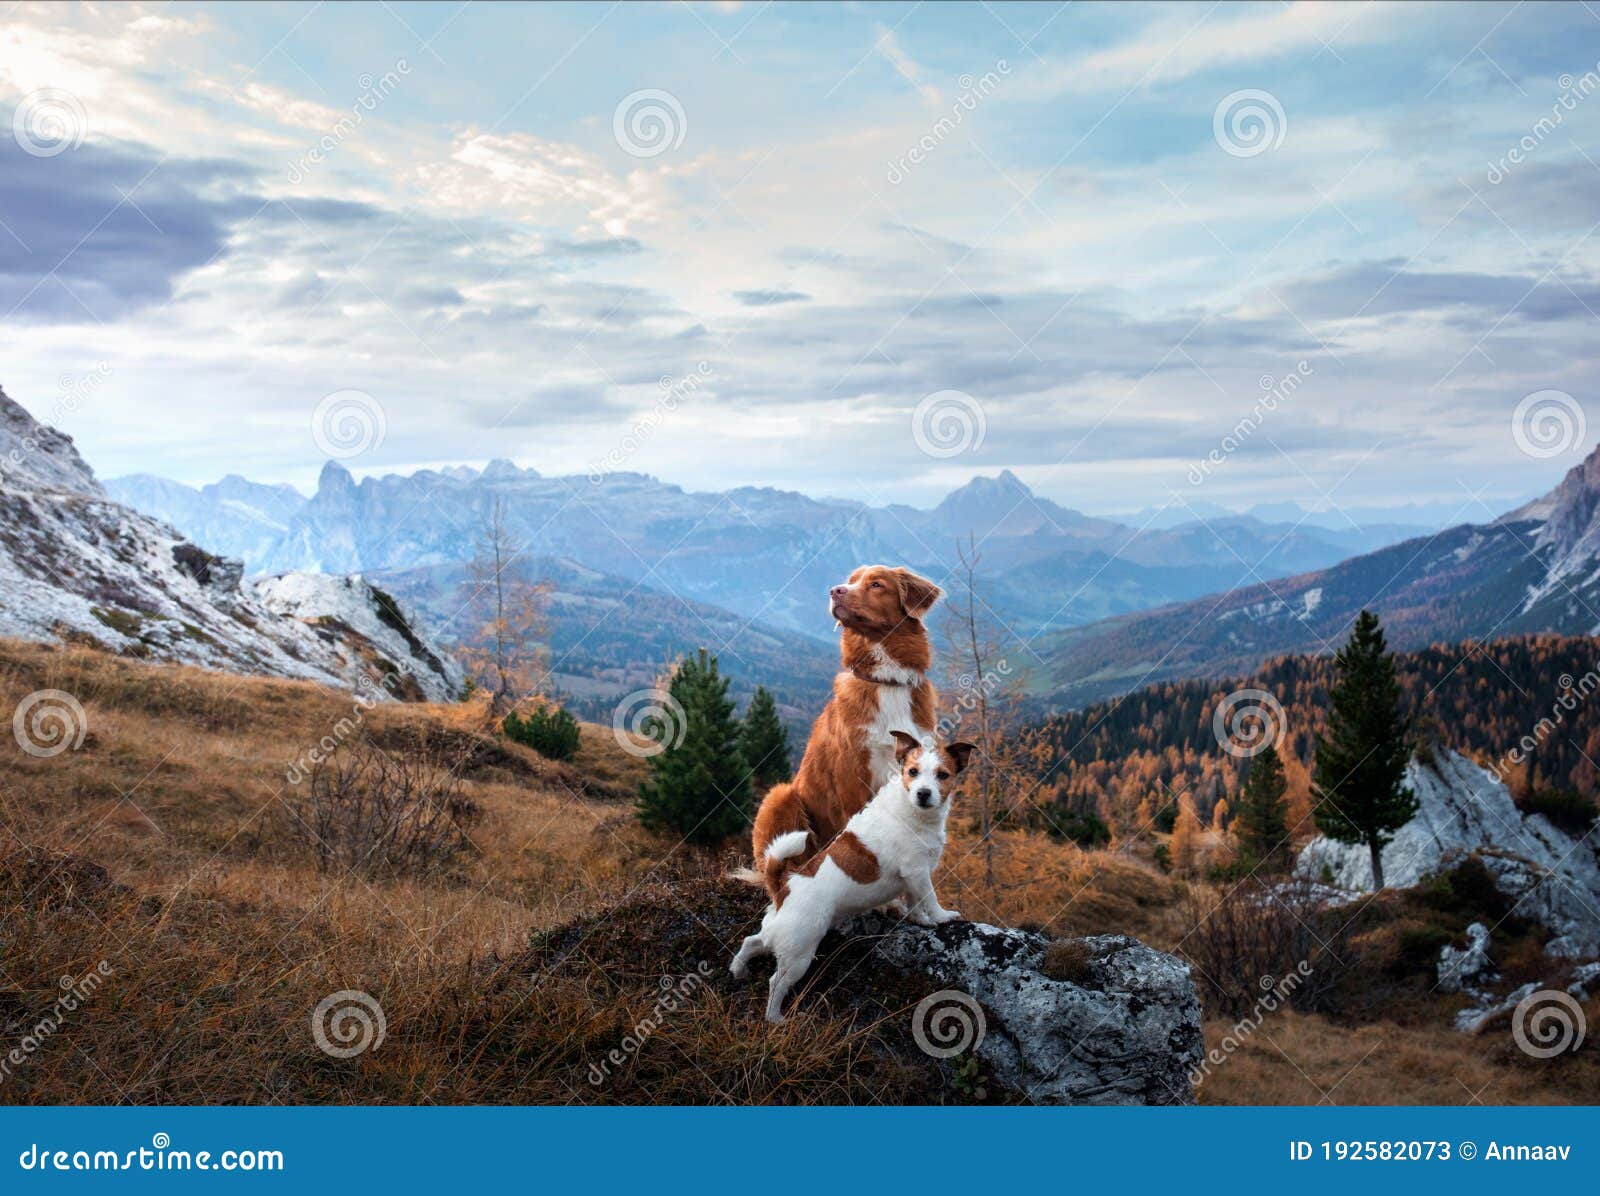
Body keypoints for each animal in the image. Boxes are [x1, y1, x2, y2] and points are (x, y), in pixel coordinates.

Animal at [729, 732, 972, 1023]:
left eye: (942, 775)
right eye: (912, 772)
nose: (923, 793)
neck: (912, 811)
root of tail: (782, 890)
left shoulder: (912, 879)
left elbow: (915, 902)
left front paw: (922, 921)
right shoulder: (917, 872)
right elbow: (930, 899)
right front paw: (942, 917)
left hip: (780, 936)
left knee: (752, 942)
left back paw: (738, 969)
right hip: (799, 954)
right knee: (776, 982)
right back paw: (775, 1017)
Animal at [745, 566, 934, 901]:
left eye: (876, 584)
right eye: (851, 579)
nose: (835, 591)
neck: (887, 682)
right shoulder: (852, 774)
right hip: (781, 796)